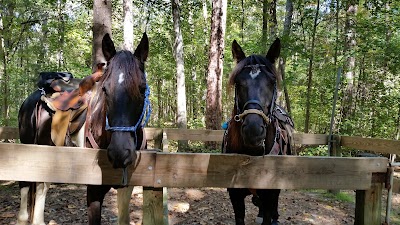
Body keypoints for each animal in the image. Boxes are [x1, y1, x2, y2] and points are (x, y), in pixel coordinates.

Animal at [16, 32, 151, 225]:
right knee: (25, 188)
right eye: (104, 89)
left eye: (142, 88)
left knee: (42, 188)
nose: (120, 153)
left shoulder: (127, 187)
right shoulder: (93, 191)